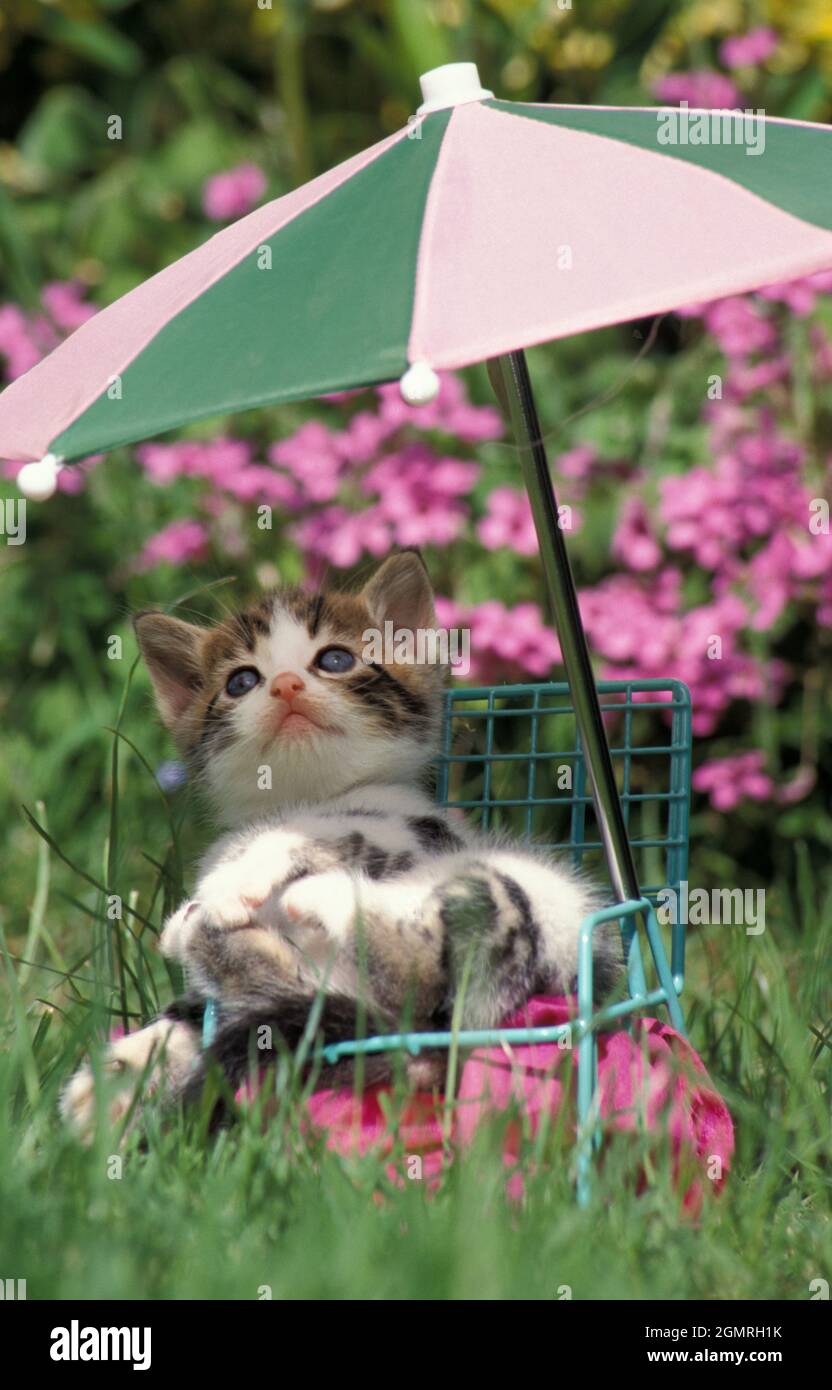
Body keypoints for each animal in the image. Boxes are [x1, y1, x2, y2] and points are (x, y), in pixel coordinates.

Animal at [61, 547, 622, 1134]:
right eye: (241, 681)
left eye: (334, 660)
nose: (285, 683)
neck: (306, 797)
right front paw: (126, 1070)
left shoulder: (420, 829)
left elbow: (337, 829)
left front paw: (237, 876)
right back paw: (196, 942)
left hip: (528, 908)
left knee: (425, 958)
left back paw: (319, 898)